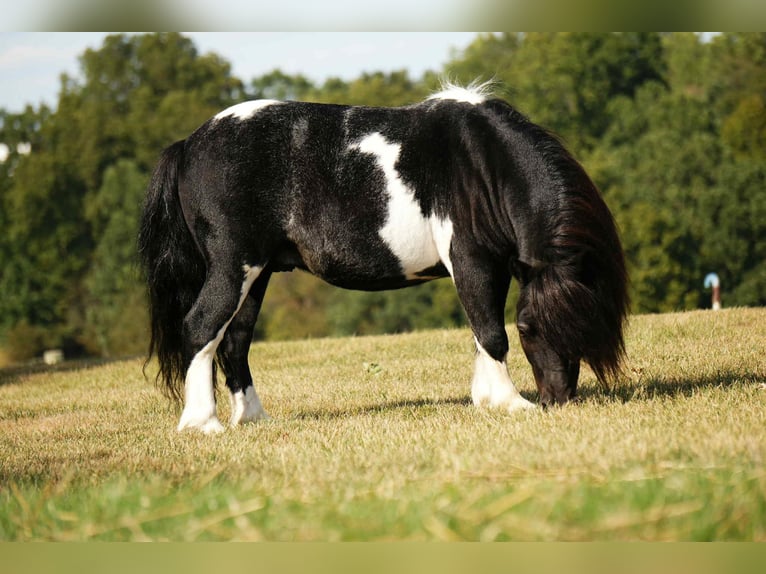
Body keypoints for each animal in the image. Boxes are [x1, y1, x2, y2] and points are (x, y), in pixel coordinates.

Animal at [138, 82, 629, 433]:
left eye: (585, 322)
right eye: (528, 328)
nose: (555, 400)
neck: (482, 164)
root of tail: (190, 144)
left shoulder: (494, 267)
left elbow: (479, 329)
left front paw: (485, 399)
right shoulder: (471, 260)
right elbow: (491, 333)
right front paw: (508, 403)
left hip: (257, 274)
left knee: (235, 340)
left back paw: (254, 419)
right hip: (232, 267)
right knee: (201, 328)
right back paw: (203, 424)